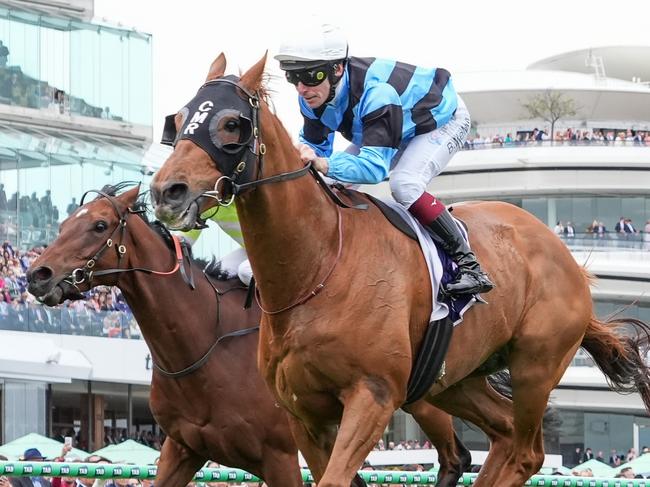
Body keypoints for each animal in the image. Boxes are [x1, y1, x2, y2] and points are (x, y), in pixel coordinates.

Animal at [149, 53, 648, 487]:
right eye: (179, 118)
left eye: (232, 123)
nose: (166, 191)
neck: (315, 268)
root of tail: (567, 260)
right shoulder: (302, 416)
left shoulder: (373, 396)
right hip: (453, 380)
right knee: (504, 437)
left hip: (535, 367)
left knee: (526, 452)